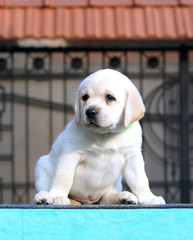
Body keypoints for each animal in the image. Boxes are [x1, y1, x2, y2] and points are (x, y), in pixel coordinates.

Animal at [34, 68, 165, 205]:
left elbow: (141, 181)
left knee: (106, 198)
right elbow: (64, 177)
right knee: (45, 186)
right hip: (42, 166)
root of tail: (86, 202)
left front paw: (150, 198)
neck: (106, 134)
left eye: (110, 97)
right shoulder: (69, 155)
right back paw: (43, 196)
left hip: (114, 185)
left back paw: (123, 197)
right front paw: (58, 196)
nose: (90, 112)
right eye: (85, 97)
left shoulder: (132, 157)